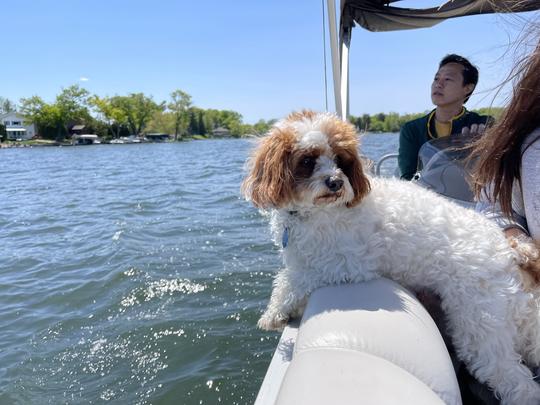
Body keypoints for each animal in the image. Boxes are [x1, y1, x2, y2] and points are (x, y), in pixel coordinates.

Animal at [243, 109, 540, 404]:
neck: (314, 213)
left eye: (340, 160)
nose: (336, 182)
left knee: (512, 377)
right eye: (307, 160)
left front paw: (275, 312)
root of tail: (511, 251)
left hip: (480, 318)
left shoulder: (347, 263)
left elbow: (293, 279)